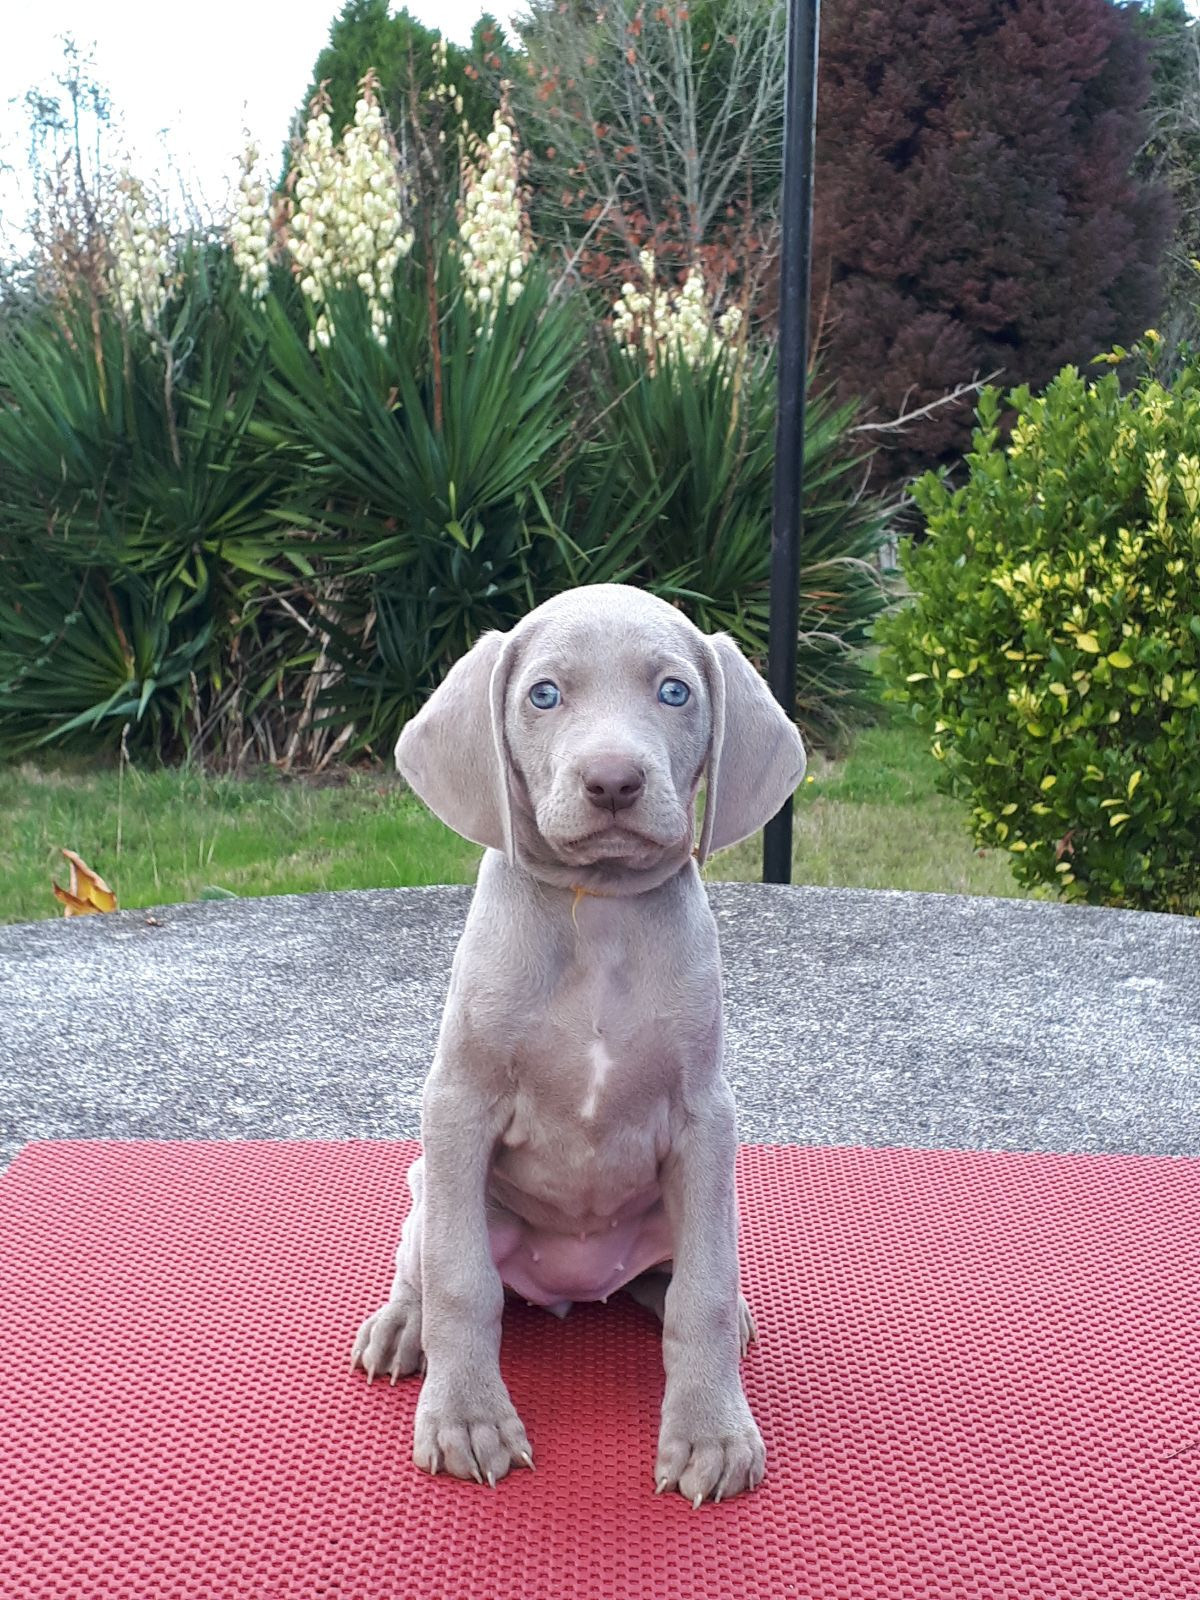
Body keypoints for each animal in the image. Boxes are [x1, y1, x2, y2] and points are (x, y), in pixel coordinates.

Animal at [351, 583, 806, 1505]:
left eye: (675, 691)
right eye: (544, 695)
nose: (613, 781)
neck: (596, 913)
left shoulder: (706, 1120)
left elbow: (703, 1294)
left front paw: (712, 1431)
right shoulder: (457, 1106)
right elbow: (462, 1283)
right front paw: (467, 1418)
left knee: (682, 1280)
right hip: (429, 1185)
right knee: (428, 1260)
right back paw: (403, 1327)